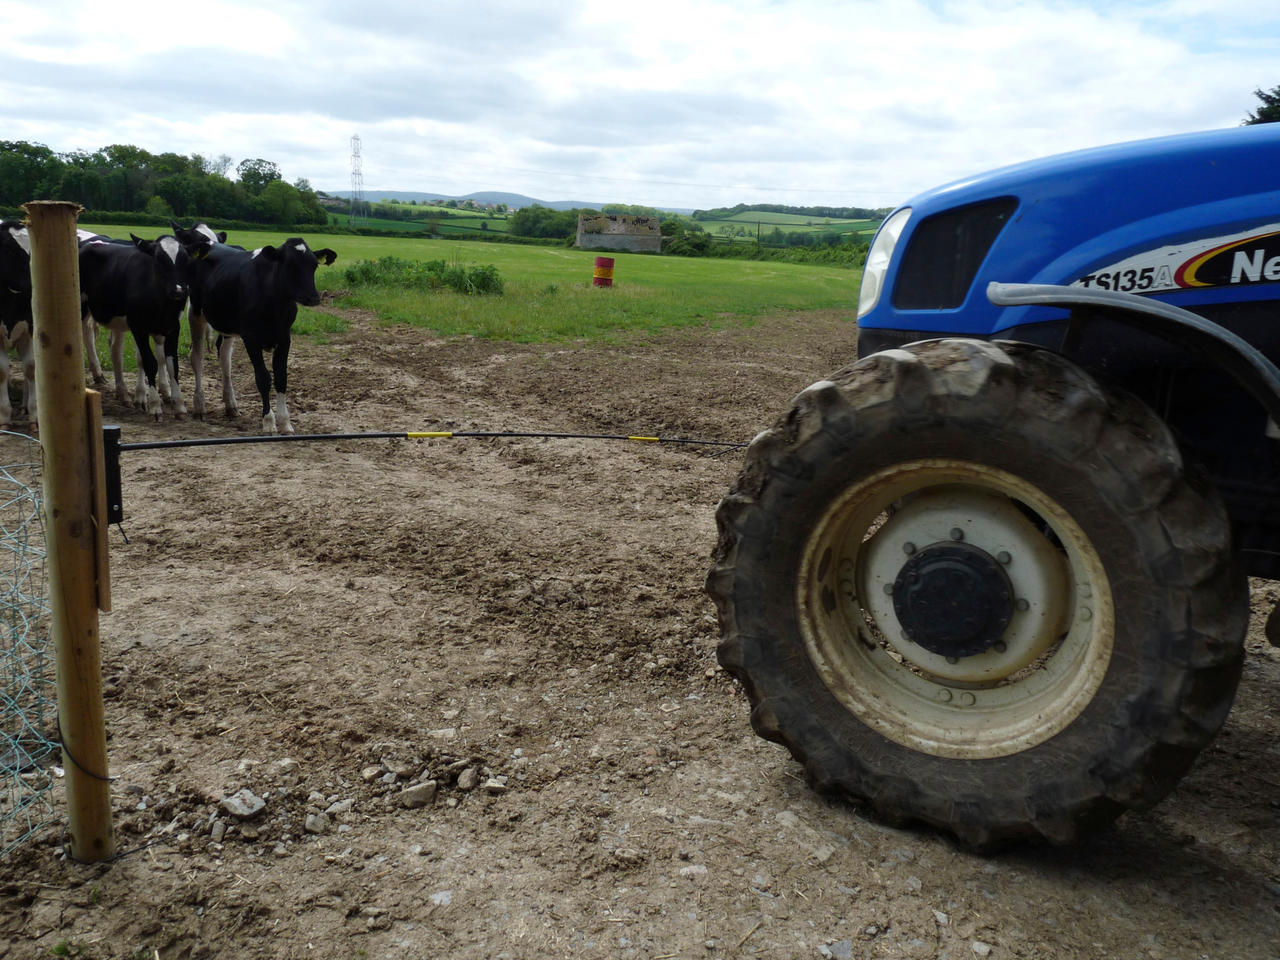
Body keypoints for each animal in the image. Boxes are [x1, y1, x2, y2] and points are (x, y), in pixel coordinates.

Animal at [78, 235, 209, 419]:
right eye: (158, 259)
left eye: (187, 261)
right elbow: (149, 362)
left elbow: (172, 365)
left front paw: (179, 405)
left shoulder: (172, 327)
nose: (178, 290)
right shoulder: (138, 327)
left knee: (104, 343)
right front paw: (154, 405)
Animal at [186, 239, 337, 435]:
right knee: (197, 357)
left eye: (314, 265)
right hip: (195, 312)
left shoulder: (284, 338)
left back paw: (231, 405)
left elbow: (281, 378)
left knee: (225, 358)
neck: (275, 304)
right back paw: (199, 406)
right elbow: (263, 378)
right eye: (290, 265)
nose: (313, 298)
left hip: (227, 326)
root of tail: (210, 242)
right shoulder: (250, 338)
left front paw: (285, 423)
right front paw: (269, 422)